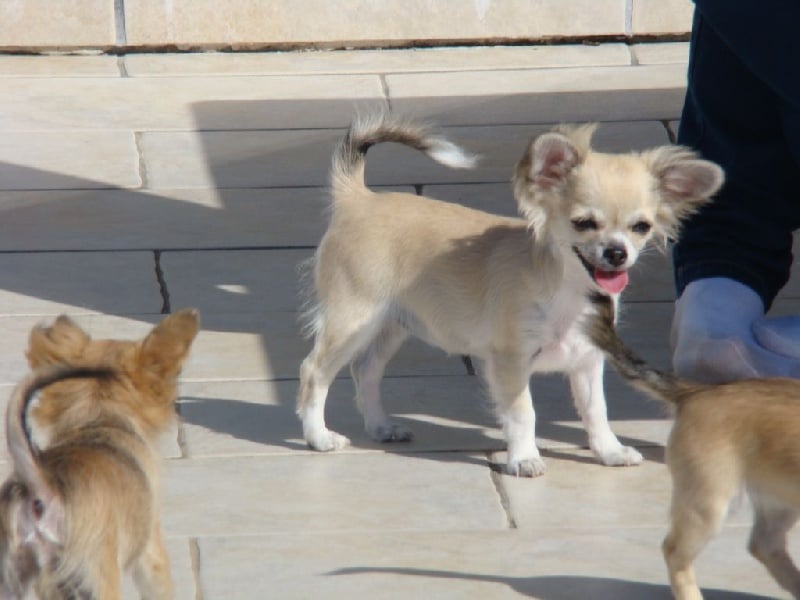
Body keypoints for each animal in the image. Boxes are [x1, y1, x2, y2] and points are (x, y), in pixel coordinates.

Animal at [298, 113, 724, 476]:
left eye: (641, 227)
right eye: (583, 223)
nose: (617, 253)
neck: (568, 291)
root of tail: (359, 197)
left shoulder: (587, 360)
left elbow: (595, 410)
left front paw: (609, 450)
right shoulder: (510, 361)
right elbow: (523, 412)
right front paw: (524, 458)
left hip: (392, 324)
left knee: (365, 369)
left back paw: (381, 426)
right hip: (354, 319)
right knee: (314, 371)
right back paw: (318, 437)